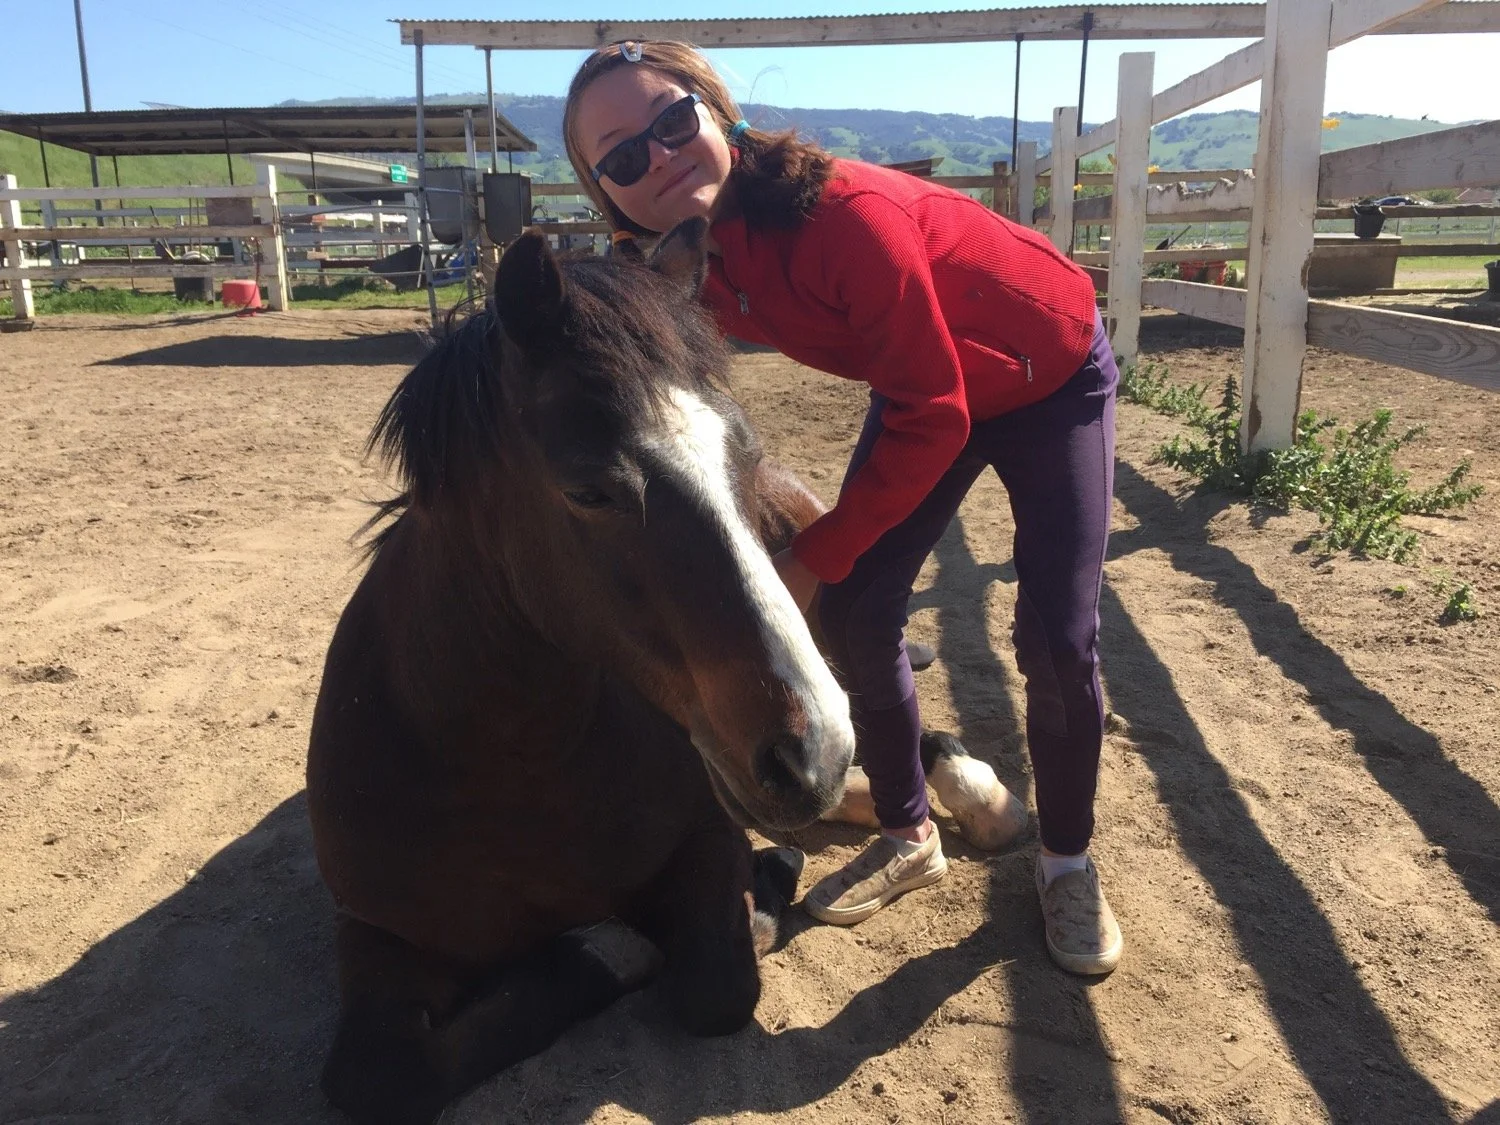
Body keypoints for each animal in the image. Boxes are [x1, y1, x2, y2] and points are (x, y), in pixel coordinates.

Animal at [307, 219, 1026, 1123]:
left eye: (740, 455)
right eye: (588, 490)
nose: (810, 750)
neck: (508, 769)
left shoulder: (705, 839)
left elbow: (719, 983)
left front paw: (752, 893)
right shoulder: (377, 936)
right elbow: (379, 1076)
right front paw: (615, 941)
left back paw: (976, 794)